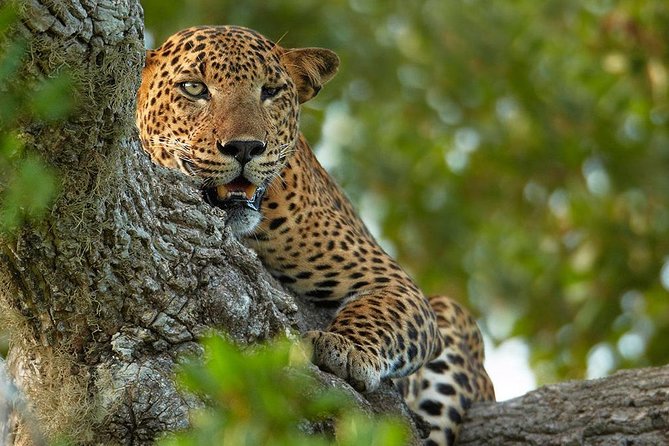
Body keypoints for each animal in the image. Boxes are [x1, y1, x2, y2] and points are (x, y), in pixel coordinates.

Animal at [136, 25, 495, 446]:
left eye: (271, 91)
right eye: (193, 88)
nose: (245, 147)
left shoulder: (393, 282)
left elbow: (379, 310)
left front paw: (347, 348)